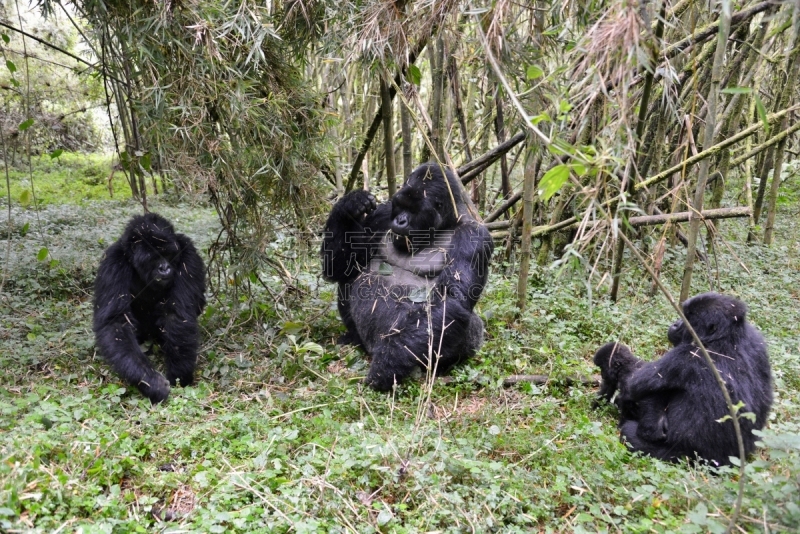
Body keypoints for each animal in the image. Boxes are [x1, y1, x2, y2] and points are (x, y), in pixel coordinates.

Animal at [93, 211, 206, 404]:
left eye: (168, 254)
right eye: (154, 257)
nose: (165, 268)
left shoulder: (188, 253)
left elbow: (177, 313)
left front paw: (179, 374)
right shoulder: (113, 262)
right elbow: (116, 322)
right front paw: (151, 382)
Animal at [318, 161, 494, 392]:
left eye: (413, 210)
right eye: (400, 206)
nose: (400, 221)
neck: (446, 223)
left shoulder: (473, 236)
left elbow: (450, 299)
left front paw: (386, 367)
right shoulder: (383, 214)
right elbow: (340, 267)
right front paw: (349, 206)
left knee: (467, 325)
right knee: (350, 276)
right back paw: (352, 337)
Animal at [592, 294, 772, 468]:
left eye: (687, 320)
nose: (675, 324)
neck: (727, 337)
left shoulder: (685, 356)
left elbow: (634, 387)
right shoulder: (757, 341)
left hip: (681, 457)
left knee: (629, 433)